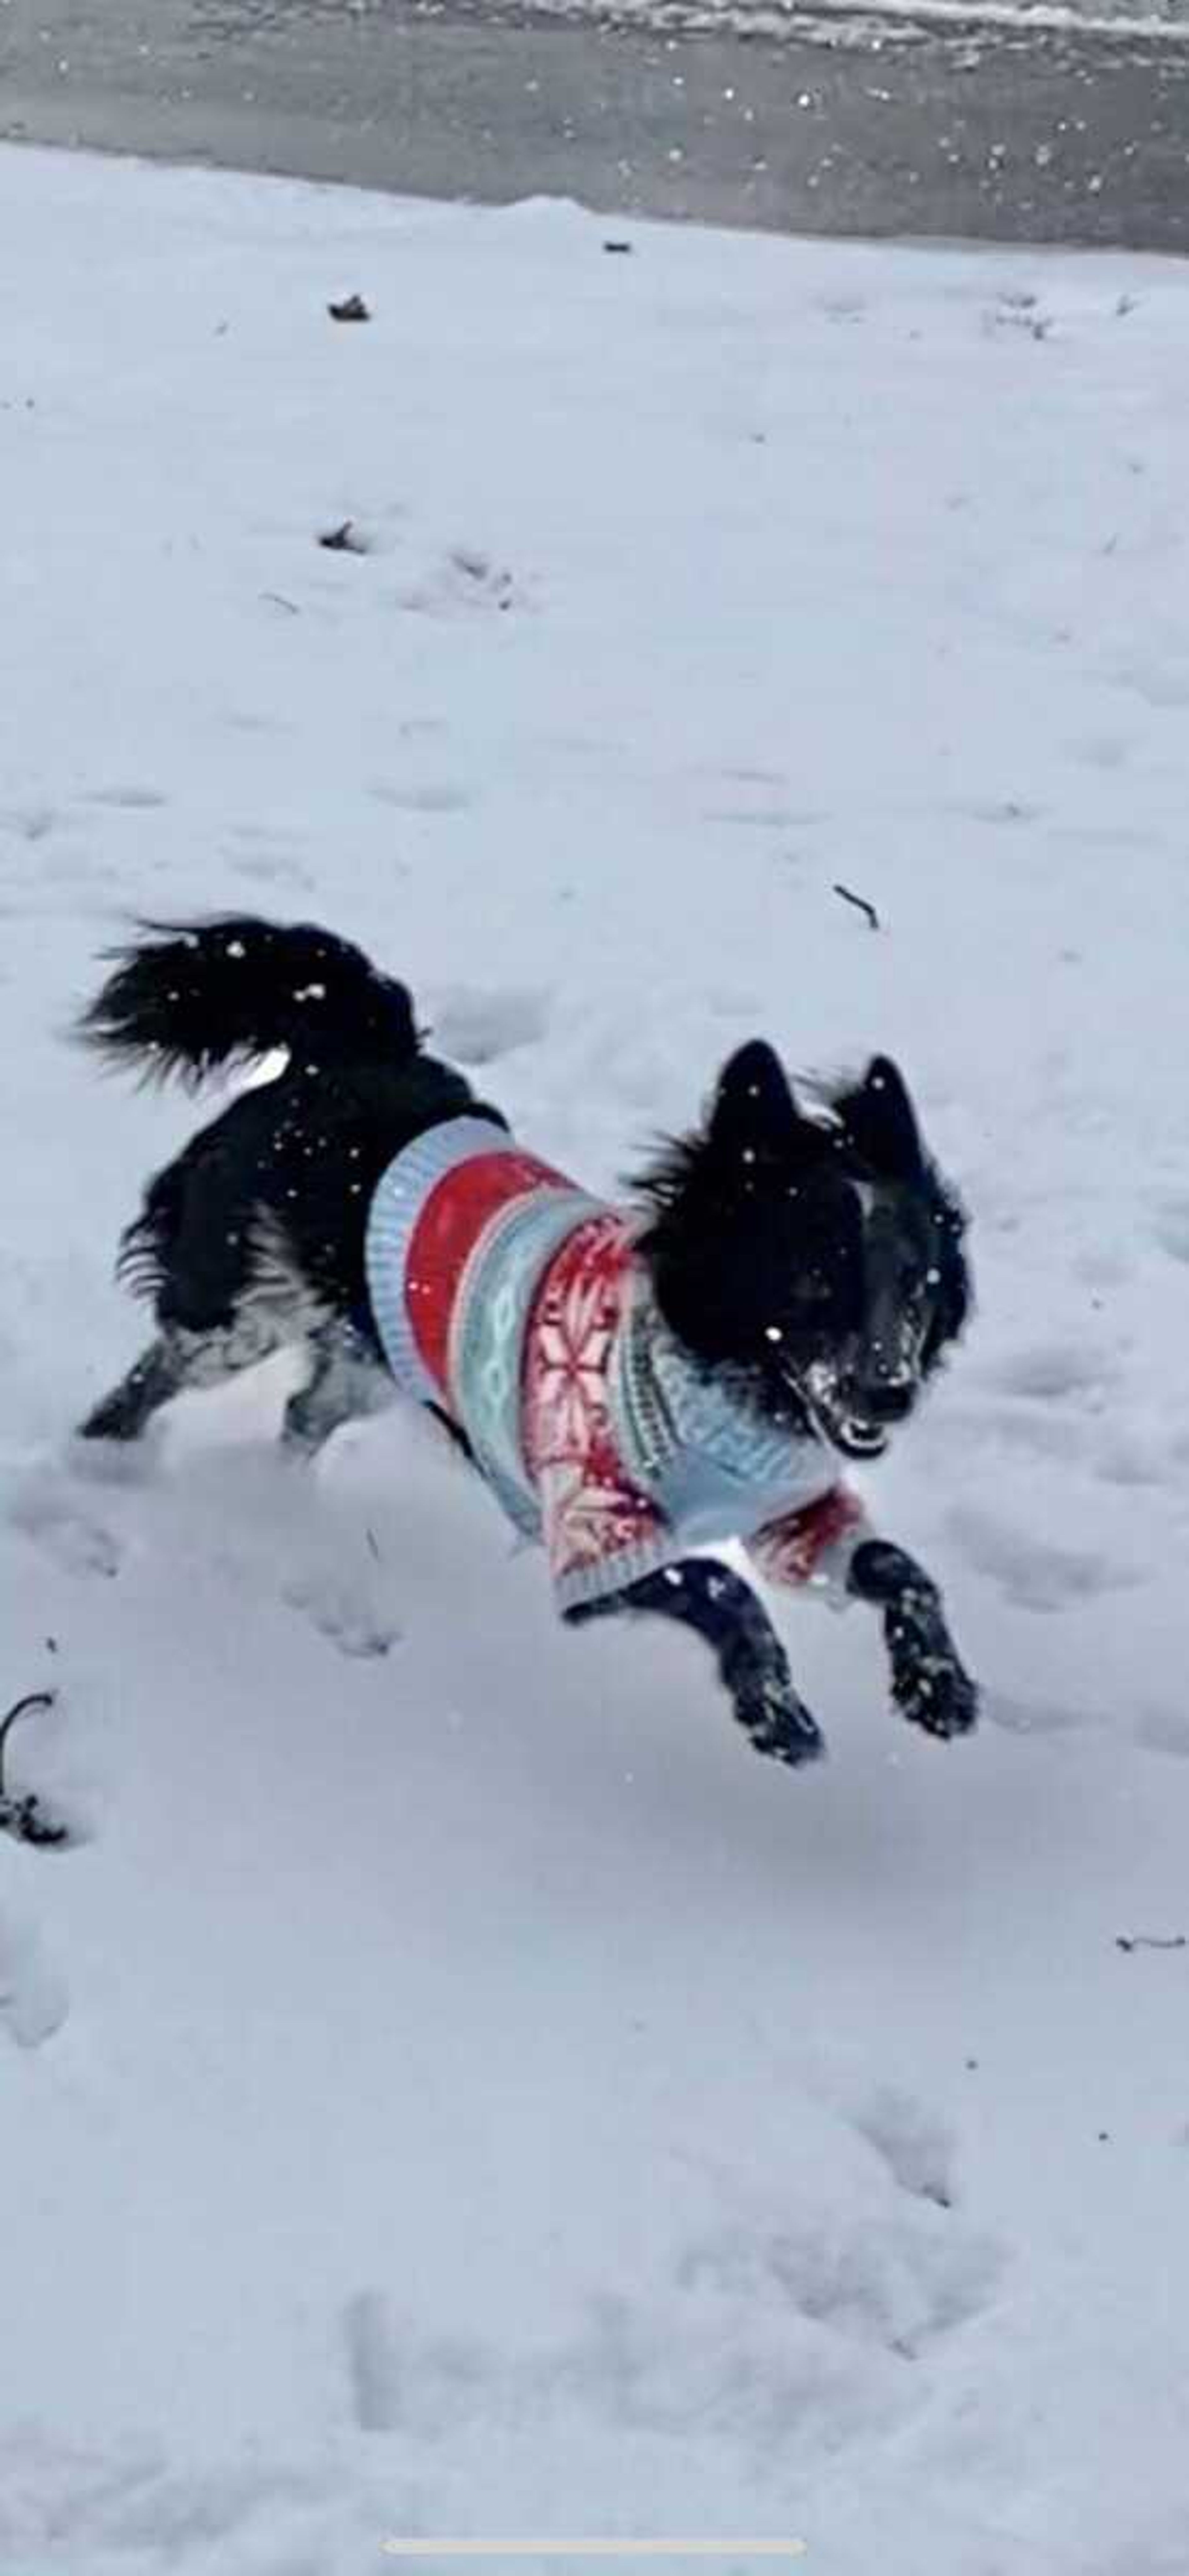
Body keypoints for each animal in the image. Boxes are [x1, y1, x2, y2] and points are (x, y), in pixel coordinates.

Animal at [79, 912, 978, 1772]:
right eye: (813, 1282)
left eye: (918, 1285)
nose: (891, 1392)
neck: (713, 1380)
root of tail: (348, 1051)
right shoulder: (594, 1534)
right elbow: (722, 1584)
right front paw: (774, 1710)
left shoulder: (793, 1516)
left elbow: (898, 1566)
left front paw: (938, 1684)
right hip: (241, 1309)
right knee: (150, 1380)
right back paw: (101, 1463)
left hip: (377, 1358)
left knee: (301, 1413)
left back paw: (275, 1501)